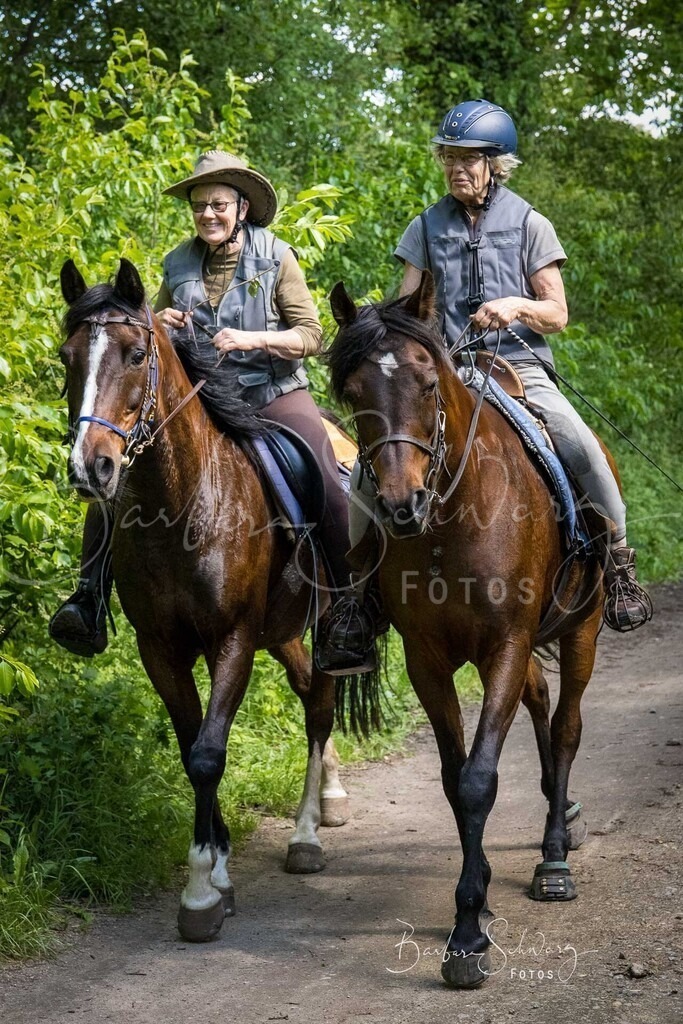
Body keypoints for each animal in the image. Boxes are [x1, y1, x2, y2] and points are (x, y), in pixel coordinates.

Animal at [57, 257, 350, 942]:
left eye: (137, 354)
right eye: (66, 357)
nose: (91, 469)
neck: (183, 509)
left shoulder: (232, 640)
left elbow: (210, 754)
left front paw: (198, 896)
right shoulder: (160, 649)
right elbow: (193, 743)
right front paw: (216, 872)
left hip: (313, 626)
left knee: (320, 709)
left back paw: (306, 835)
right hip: (284, 633)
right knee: (309, 692)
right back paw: (325, 801)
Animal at [327, 271, 609, 988]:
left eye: (429, 384)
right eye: (353, 394)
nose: (400, 505)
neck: (451, 522)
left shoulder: (505, 645)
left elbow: (481, 779)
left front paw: (466, 936)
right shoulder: (427, 659)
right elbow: (456, 782)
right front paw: (474, 899)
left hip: (584, 627)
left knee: (566, 726)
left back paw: (554, 856)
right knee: (540, 703)